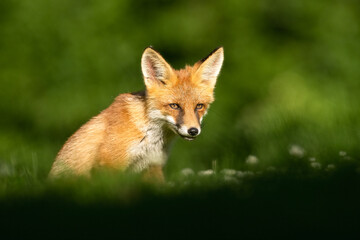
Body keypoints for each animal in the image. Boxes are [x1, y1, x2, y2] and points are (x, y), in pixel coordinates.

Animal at [49, 46, 224, 180]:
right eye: (174, 106)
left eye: (199, 106)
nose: (193, 131)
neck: (150, 138)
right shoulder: (110, 164)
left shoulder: (152, 166)